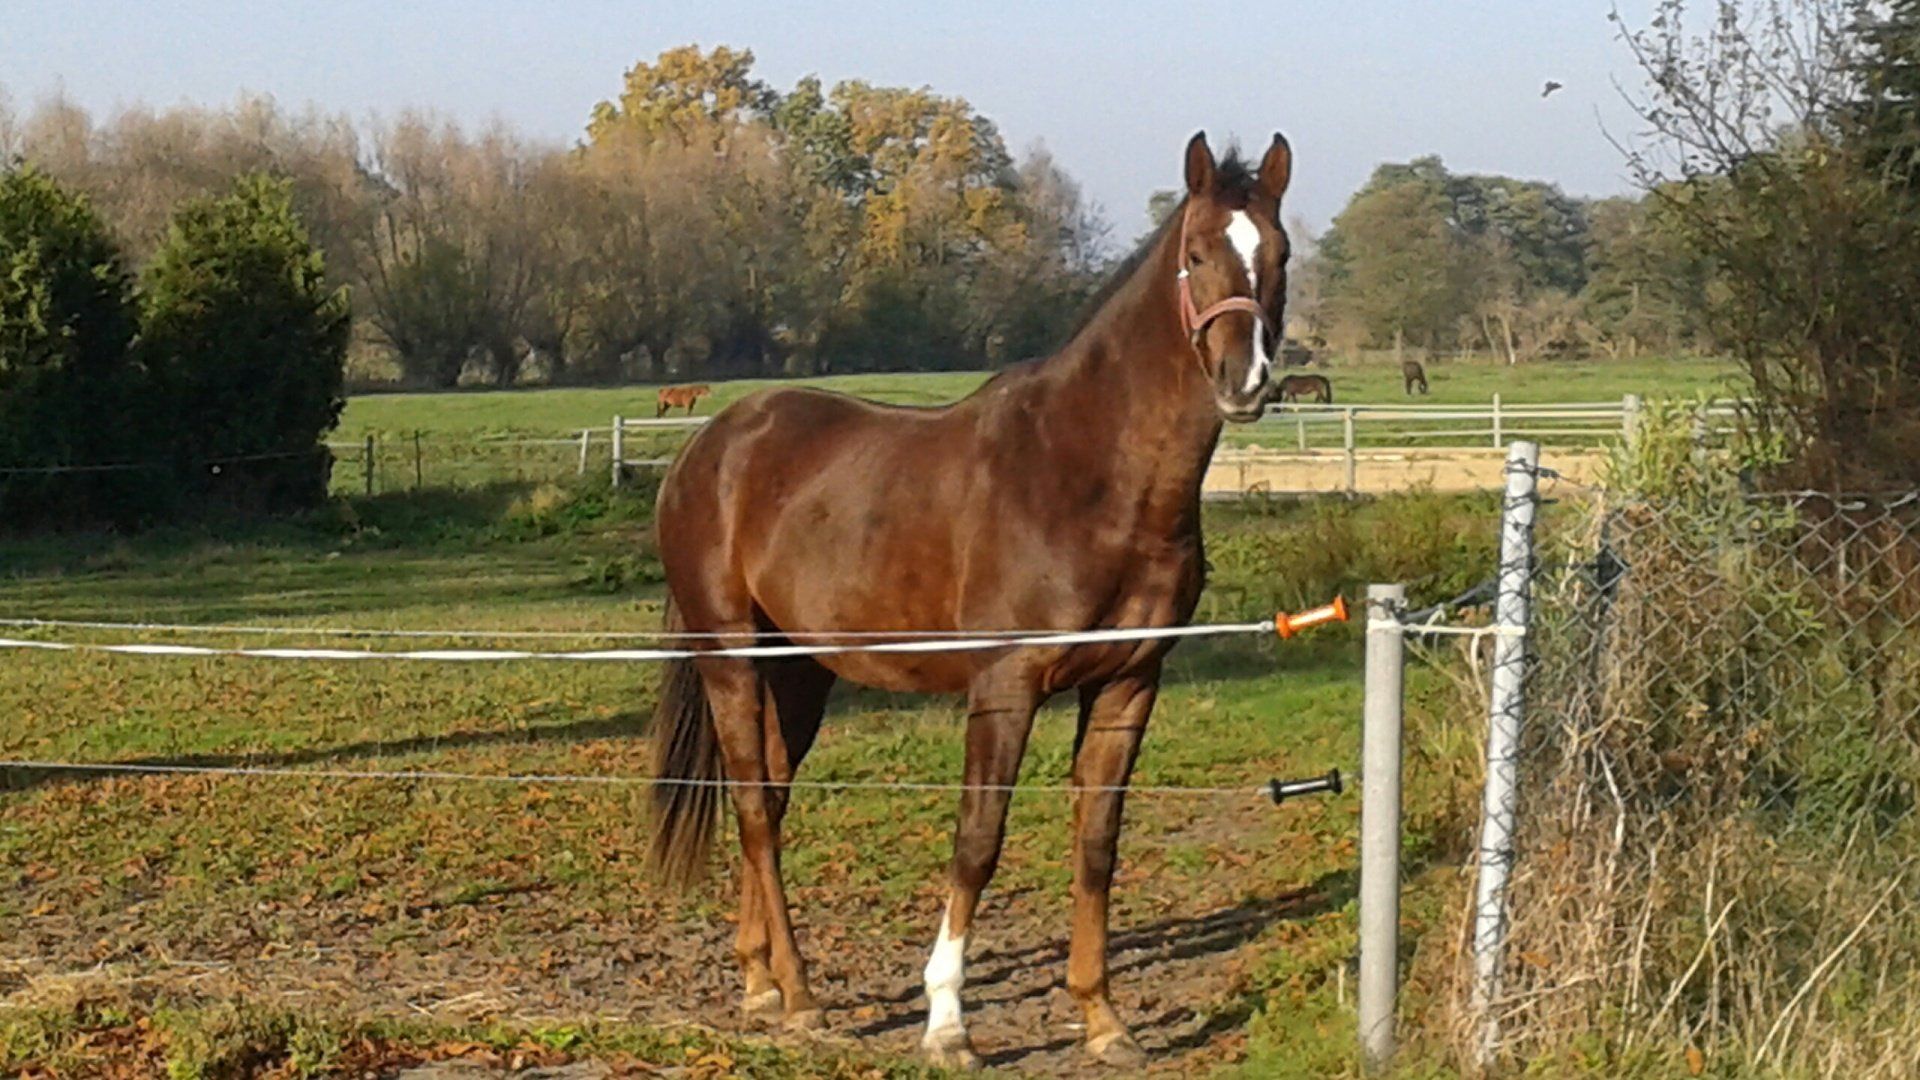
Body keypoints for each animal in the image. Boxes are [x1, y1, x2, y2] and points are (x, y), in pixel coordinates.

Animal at [648, 131, 1292, 1069]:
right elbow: (979, 841)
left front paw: (1104, 1019)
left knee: (764, 794)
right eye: (1199, 252)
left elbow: (1099, 844)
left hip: (799, 673)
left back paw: (760, 980)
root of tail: (708, 447)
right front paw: (948, 1024)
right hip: (730, 660)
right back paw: (801, 997)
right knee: (756, 810)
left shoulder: (1129, 685)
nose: (1247, 380)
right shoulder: (1005, 688)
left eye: (1279, 255)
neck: (1088, 474)